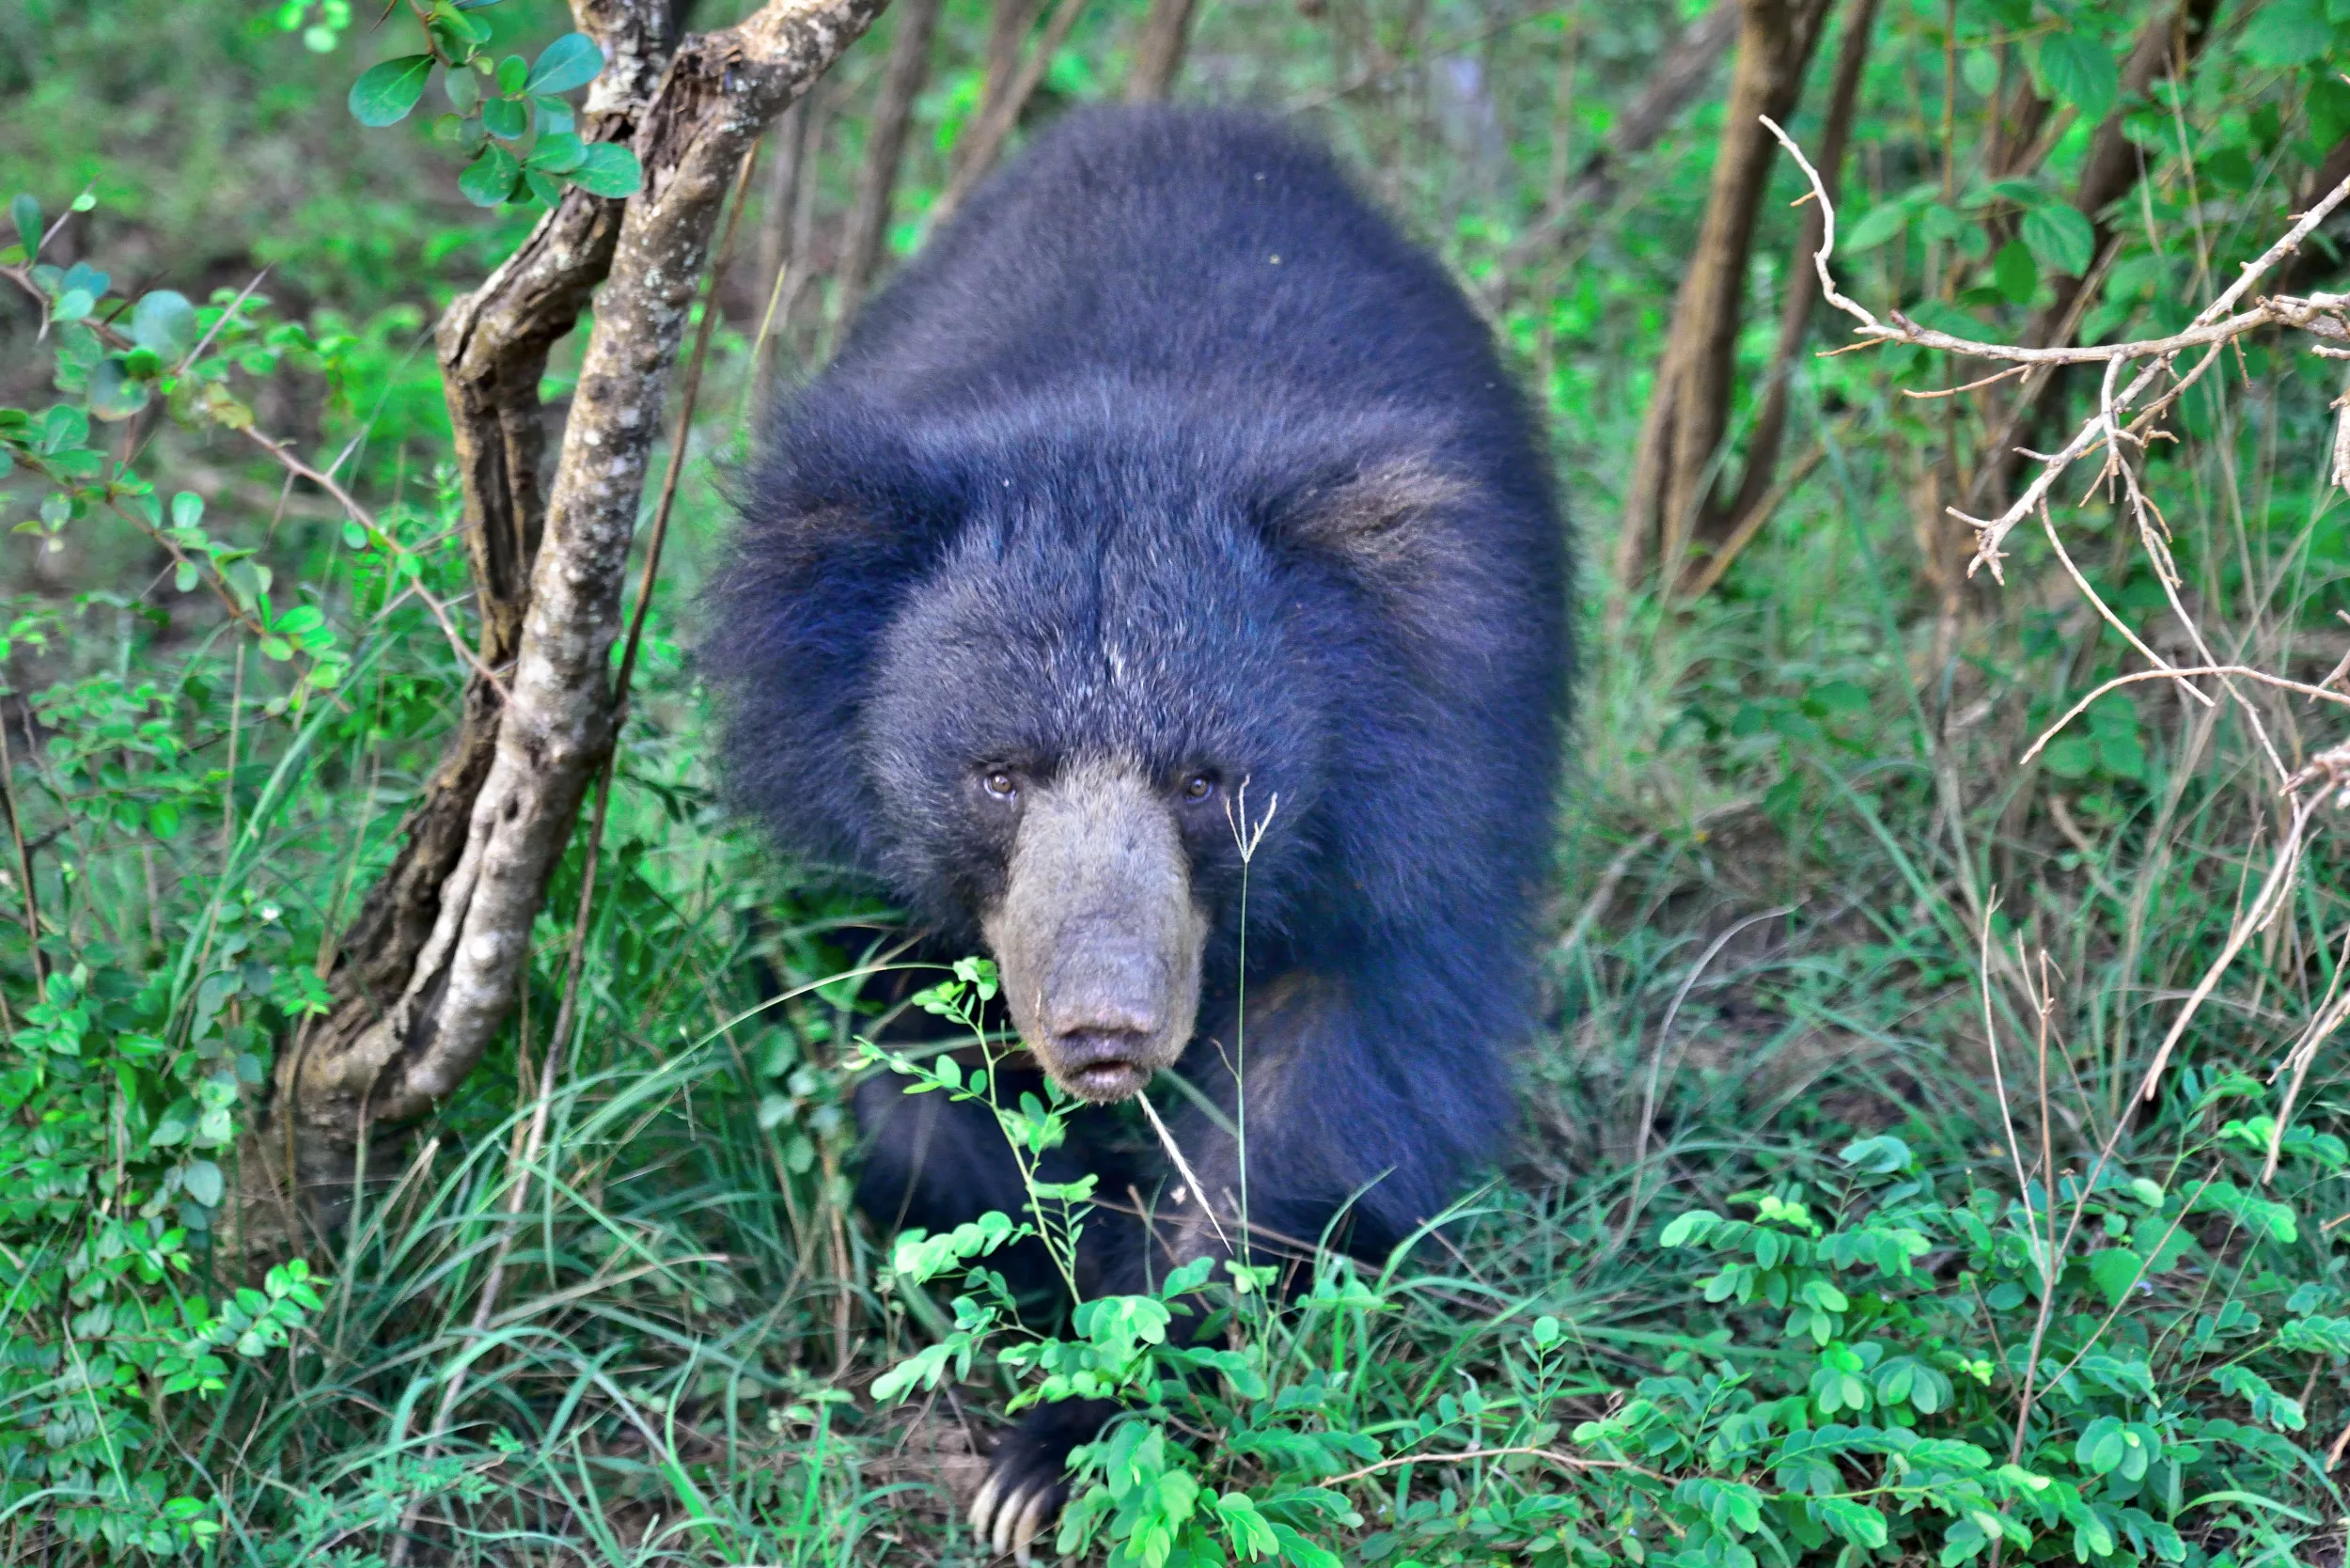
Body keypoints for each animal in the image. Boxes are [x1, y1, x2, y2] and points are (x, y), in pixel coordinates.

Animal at [710, 105, 1570, 1558]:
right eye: (998, 777)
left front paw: (1068, 1441)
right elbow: (910, 1069)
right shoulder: (867, 847)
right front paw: (1018, 1288)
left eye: (1204, 784)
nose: (1105, 1027)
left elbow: (1312, 1114)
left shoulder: (1421, 807)